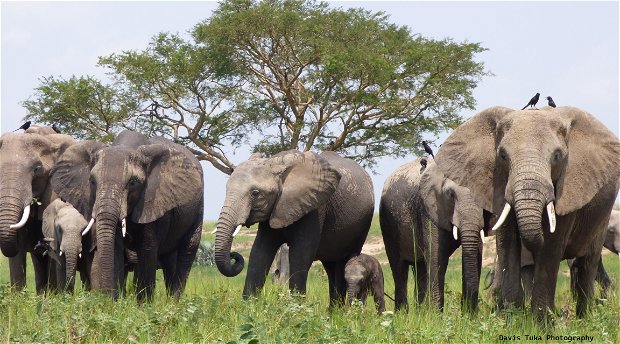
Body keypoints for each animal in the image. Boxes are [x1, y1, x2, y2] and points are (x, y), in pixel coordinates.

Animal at [50, 130, 203, 300]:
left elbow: (147, 248)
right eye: (92, 181)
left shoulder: (152, 201)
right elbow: (115, 246)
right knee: (169, 259)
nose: (105, 297)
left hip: (198, 208)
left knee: (188, 249)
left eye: (133, 183)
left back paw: (174, 303)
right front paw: (115, 302)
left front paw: (143, 304)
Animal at [216, 150, 376, 304]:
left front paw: (296, 308)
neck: (277, 163)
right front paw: (249, 306)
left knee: (343, 262)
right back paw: (334, 311)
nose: (233, 255)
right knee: (330, 266)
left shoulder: (314, 209)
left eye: (255, 193)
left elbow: (300, 254)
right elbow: (259, 252)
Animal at [378, 157, 490, 314]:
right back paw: (403, 314)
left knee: (420, 268)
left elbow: (476, 251)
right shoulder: (429, 209)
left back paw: (420, 313)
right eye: (450, 194)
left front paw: (469, 316)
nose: (470, 312)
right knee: (399, 268)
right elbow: (437, 255)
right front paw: (436, 316)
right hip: (388, 224)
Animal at [436, 106, 620, 322]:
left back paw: (584, 319)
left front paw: (541, 324)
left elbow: (551, 244)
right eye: (503, 156)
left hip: (602, 215)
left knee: (588, 261)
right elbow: (507, 243)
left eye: (557, 156)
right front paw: (512, 320)